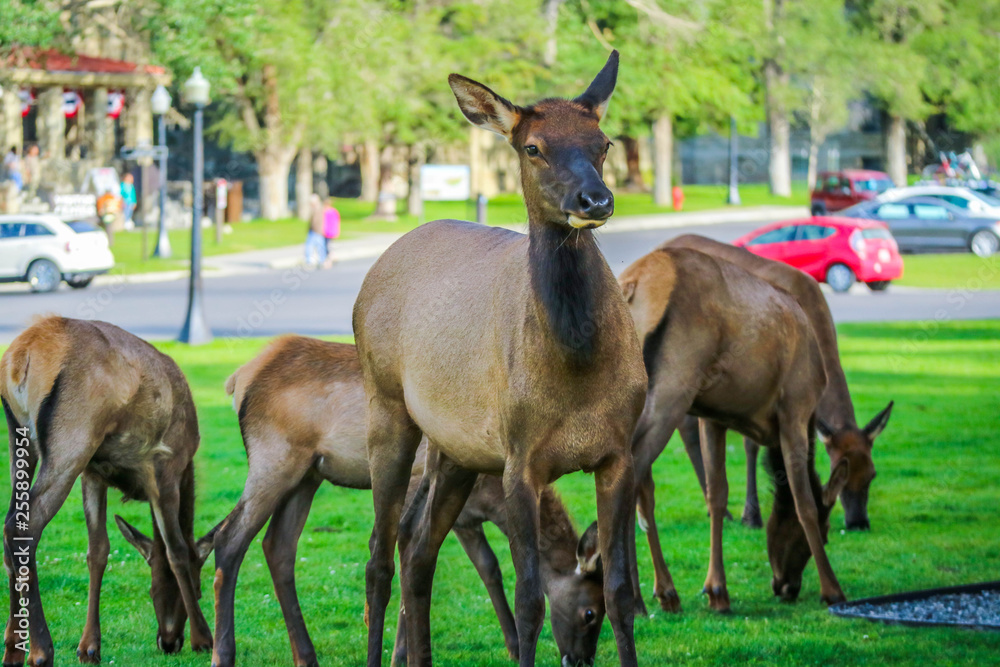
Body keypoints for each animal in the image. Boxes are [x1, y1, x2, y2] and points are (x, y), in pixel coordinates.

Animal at [1, 316, 216, 667]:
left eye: (151, 590)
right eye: (199, 589)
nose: (169, 641)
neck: (188, 468)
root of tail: (19, 357)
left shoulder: (94, 472)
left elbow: (98, 550)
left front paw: (89, 647)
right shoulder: (165, 468)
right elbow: (177, 551)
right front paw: (203, 639)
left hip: (20, 439)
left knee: (10, 525)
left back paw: (12, 648)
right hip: (72, 438)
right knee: (24, 525)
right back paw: (41, 650)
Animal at [208, 335, 608, 667]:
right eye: (590, 612)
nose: (580, 661)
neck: (491, 494)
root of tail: (238, 378)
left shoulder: (467, 519)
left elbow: (488, 568)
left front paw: (509, 645)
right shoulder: (432, 490)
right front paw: (400, 653)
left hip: (307, 475)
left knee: (278, 546)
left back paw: (306, 656)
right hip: (274, 459)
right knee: (228, 538)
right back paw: (222, 654)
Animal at [353, 50, 647, 667]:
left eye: (603, 142)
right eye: (532, 147)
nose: (596, 201)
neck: (576, 371)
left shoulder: (618, 453)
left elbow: (621, 590)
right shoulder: (520, 460)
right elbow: (530, 596)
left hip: (455, 448)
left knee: (418, 548)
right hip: (386, 407)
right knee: (378, 557)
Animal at [617, 246, 849, 614]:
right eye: (827, 532)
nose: (786, 586)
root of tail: (631, 286)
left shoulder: (713, 416)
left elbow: (717, 495)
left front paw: (716, 590)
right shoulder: (795, 407)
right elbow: (804, 502)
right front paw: (833, 590)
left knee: (641, 485)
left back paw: (661, 592)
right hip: (672, 385)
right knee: (631, 475)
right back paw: (638, 597)